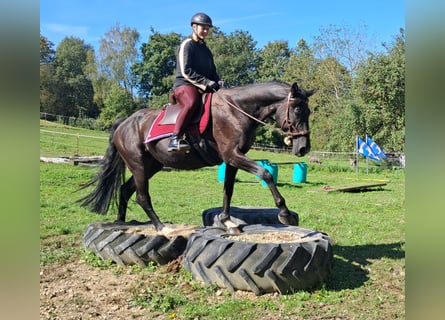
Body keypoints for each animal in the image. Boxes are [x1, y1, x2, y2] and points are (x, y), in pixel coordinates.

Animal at [80, 81, 316, 234]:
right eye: (297, 110)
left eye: (308, 112)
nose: (303, 148)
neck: (237, 110)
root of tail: (125, 122)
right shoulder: (233, 155)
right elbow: (266, 174)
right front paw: (284, 213)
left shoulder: (232, 159)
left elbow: (228, 190)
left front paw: (227, 221)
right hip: (138, 165)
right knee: (141, 196)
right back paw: (161, 227)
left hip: (151, 166)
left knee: (124, 190)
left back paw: (121, 223)